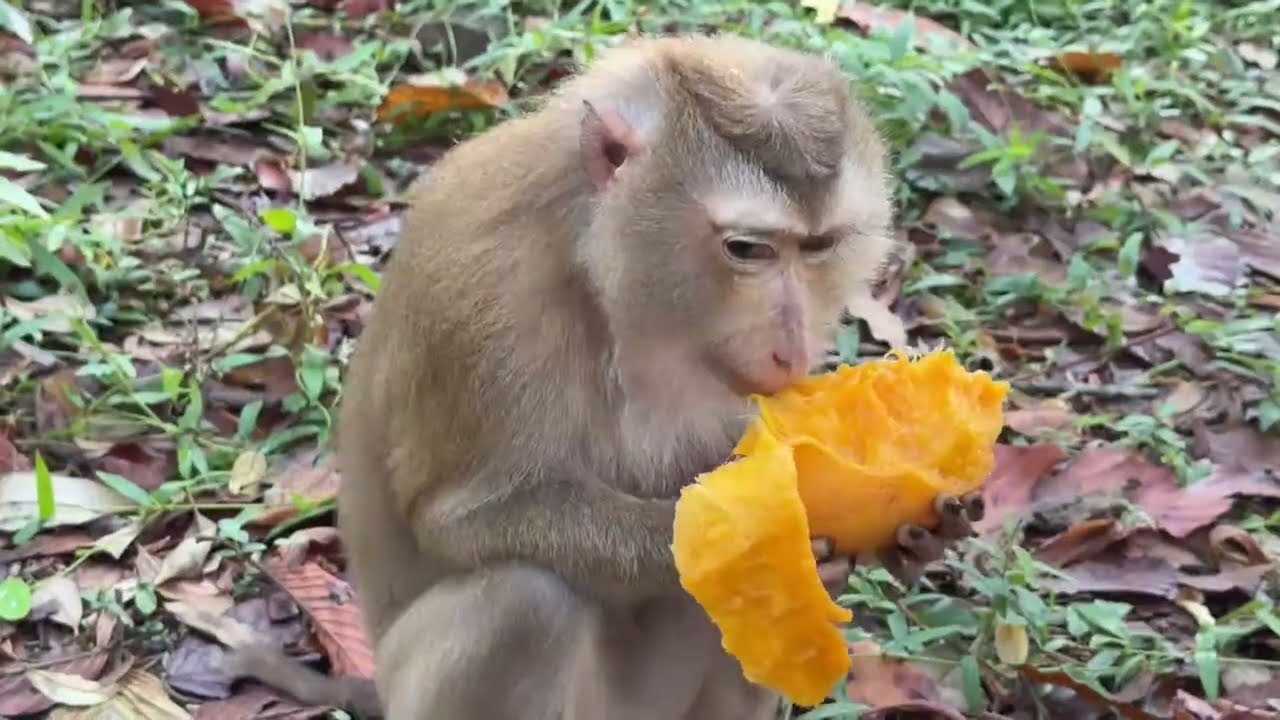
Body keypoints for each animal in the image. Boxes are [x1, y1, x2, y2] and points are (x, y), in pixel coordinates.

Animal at [226, 33, 986, 719]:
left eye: (819, 247)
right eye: (747, 250)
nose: (794, 349)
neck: (594, 262)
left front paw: (914, 539)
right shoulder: (486, 296)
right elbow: (461, 520)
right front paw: (754, 535)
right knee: (524, 606)